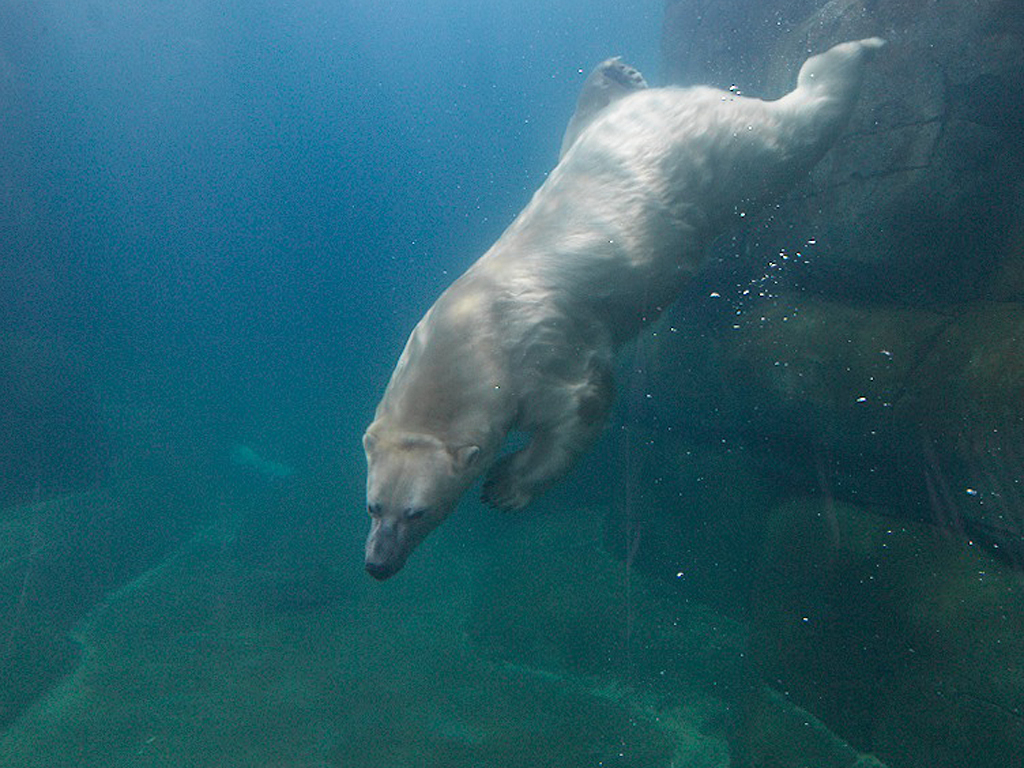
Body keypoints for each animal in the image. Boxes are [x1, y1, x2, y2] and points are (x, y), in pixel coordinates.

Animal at [362, 38, 885, 580]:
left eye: (417, 512)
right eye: (373, 506)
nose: (377, 564)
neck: (478, 326)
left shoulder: (545, 350)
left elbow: (585, 402)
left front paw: (505, 486)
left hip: (724, 151)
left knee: (794, 131)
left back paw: (855, 51)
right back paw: (615, 75)